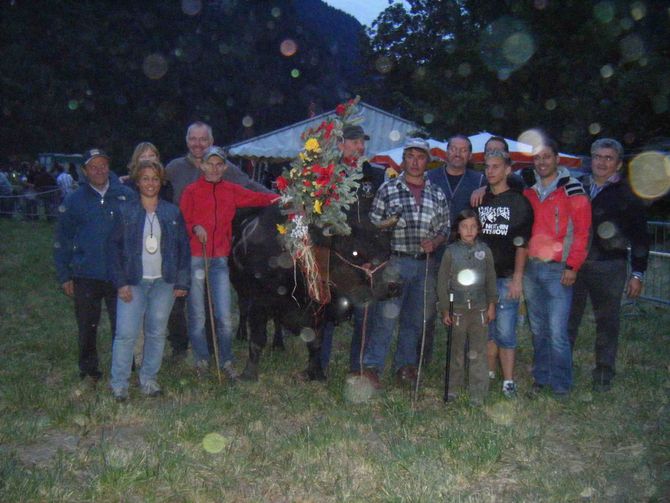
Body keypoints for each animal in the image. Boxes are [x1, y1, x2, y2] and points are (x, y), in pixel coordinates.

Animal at [232, 198, 394, 382]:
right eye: (354, 252)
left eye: (387, 249)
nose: (395, 285)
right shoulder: (259, 303)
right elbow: (257, 339)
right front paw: (248, 374)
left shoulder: (319, 309)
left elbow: (316, 342)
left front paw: (316, 373)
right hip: (241, 290)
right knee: (243, 310)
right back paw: (241, 335)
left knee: (278, 323)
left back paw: (279, 344)